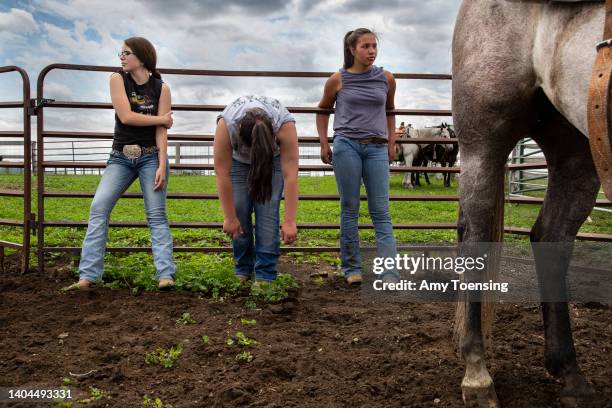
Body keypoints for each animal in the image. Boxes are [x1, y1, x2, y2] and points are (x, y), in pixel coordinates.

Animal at [452, 0, 604, 406]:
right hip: (482, 142)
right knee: (476, 238)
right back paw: (477, 375)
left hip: (576, 148)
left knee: (552, 238)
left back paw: (570, 372)